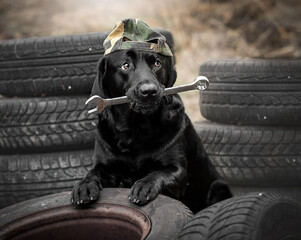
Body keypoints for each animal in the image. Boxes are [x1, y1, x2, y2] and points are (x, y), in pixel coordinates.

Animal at [71, 47, 232, 213]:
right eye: (125, 65)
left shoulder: (179, 172)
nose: (149, 91)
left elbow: (160, 172)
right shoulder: (104, 167)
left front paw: (144, 185)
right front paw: (84, 186)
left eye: (157, 63)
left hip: (218, 188)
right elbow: (92, 172)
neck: (135, 130)